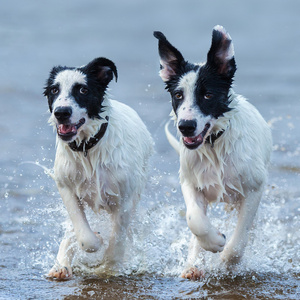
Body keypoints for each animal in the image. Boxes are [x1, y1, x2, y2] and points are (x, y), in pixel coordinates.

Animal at [43, 56, 154, 278]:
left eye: (83, 90)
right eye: (54, 90)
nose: (61, 112)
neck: (88, 148)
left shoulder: (124, 200)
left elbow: (117, 242)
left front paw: (108, 268)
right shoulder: (66, 185)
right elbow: (83, 235)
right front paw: (95, 240)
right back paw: (60, 266)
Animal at [154, 25, 274, 278]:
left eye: (208, 95)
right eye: (178, 95)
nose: (186, 126)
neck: (213, 145)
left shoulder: (254, 189)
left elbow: (238, 242)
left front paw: (225, 262)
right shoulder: (190, 182)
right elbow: (194, 219)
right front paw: (214, 241)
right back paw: (192, 265)